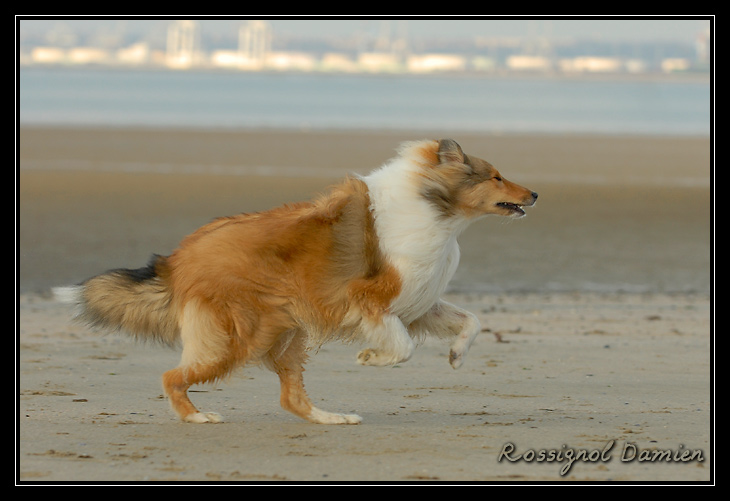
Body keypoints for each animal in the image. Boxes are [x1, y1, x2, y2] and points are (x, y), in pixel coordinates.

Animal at [54, 139, 536, 424]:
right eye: (495, 175)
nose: (534, 194)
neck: (434, 208)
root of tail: (177, 259)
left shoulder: (416, 302)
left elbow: (471, 321)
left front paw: (456, 356)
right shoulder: (372, 299)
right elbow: (403, 347)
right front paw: (371, 357)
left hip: (286, 332)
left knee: (291, 398)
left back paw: (332, 418)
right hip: (239, 338)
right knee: (172, 376)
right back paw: (197, 417)